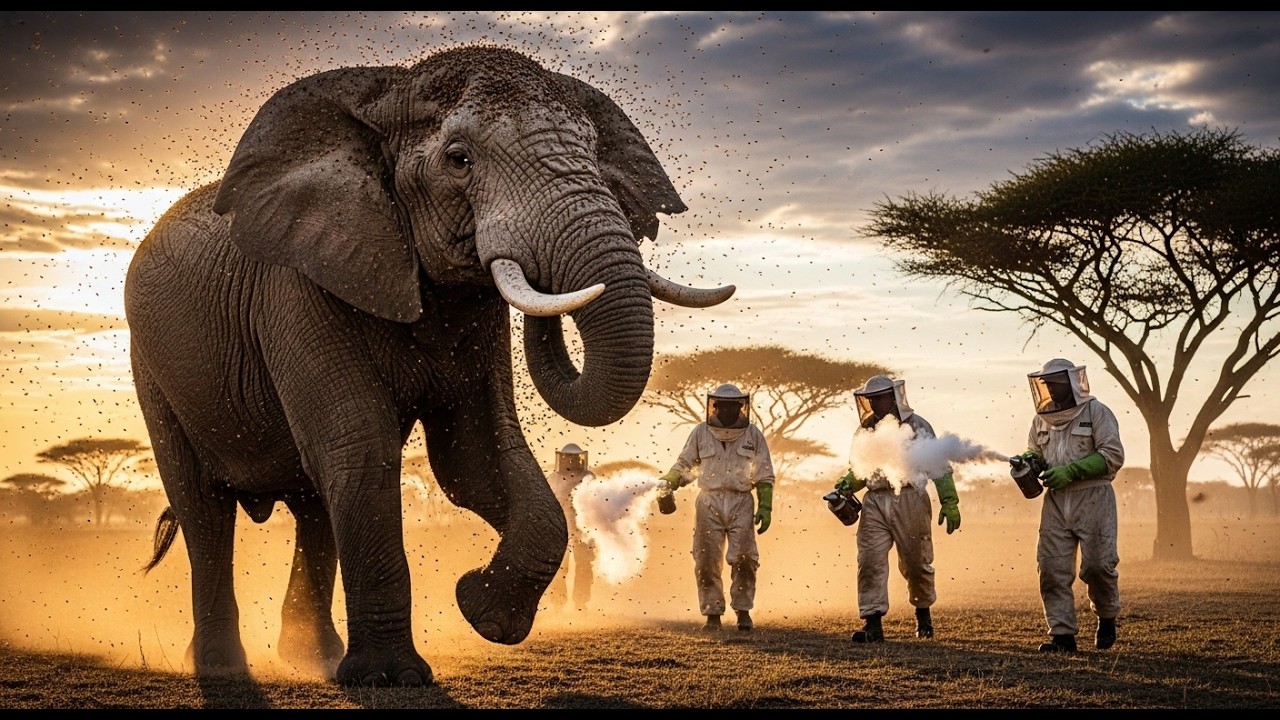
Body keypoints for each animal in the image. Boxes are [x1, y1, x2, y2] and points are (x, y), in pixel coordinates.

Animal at [124, 44, 734, 687]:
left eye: (594, 153)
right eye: (459, 159)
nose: (547, 281)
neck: (388, 95)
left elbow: (476, 457)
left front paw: (480, 610)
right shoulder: (297, 287)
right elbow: (360, 444)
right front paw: (390, 678)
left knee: (314, 508)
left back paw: (314, 660)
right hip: (152, 370)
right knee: (205, 510)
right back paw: (223, 668)